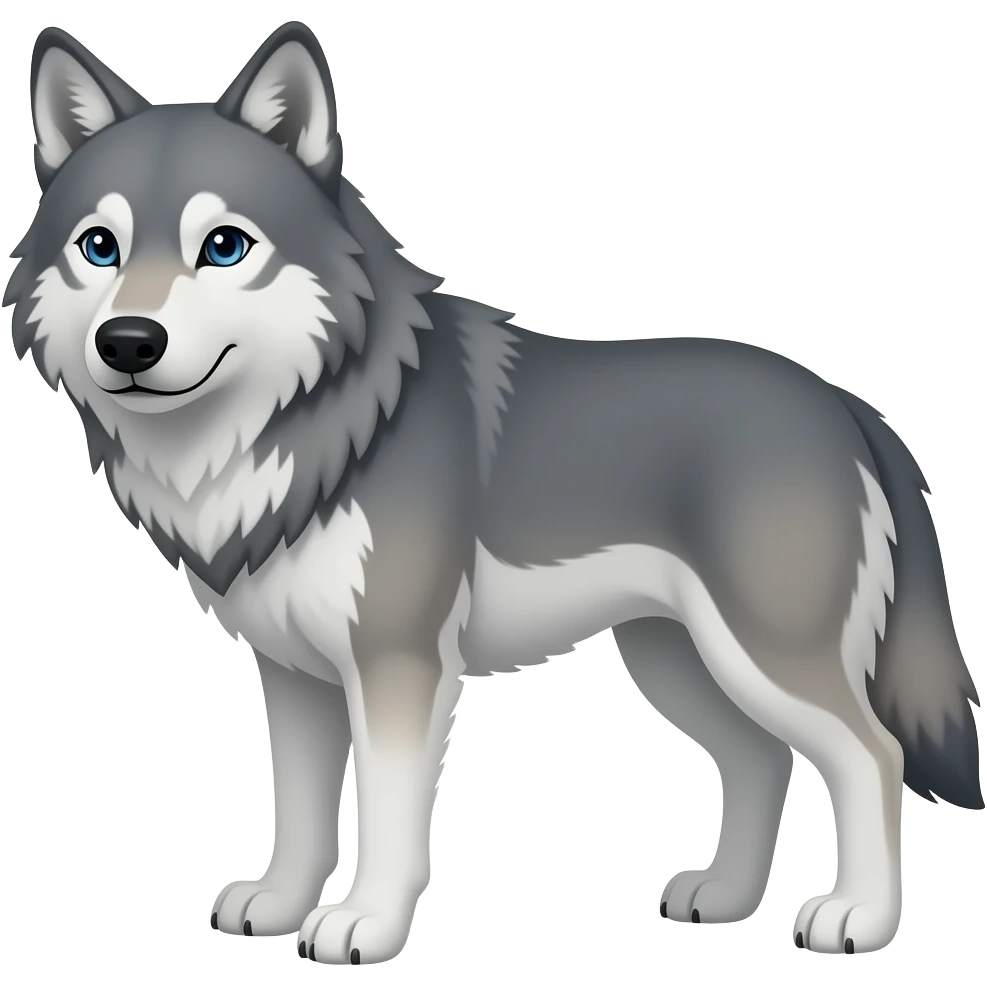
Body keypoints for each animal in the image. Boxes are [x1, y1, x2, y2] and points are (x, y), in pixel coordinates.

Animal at [4, 21, 982, 966]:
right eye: (99, 247)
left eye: (224, 247)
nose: (129, 341)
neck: (310, 425)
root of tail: (844, 403)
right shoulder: (293, 674)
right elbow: (302, 811)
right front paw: (280, 906)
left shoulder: (397, 664)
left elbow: (386, 816)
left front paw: (364, 925)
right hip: (676, 659)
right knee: (761, 760)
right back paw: (724, 898)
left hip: (761, 653)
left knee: (870, 754)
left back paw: (857, 919)